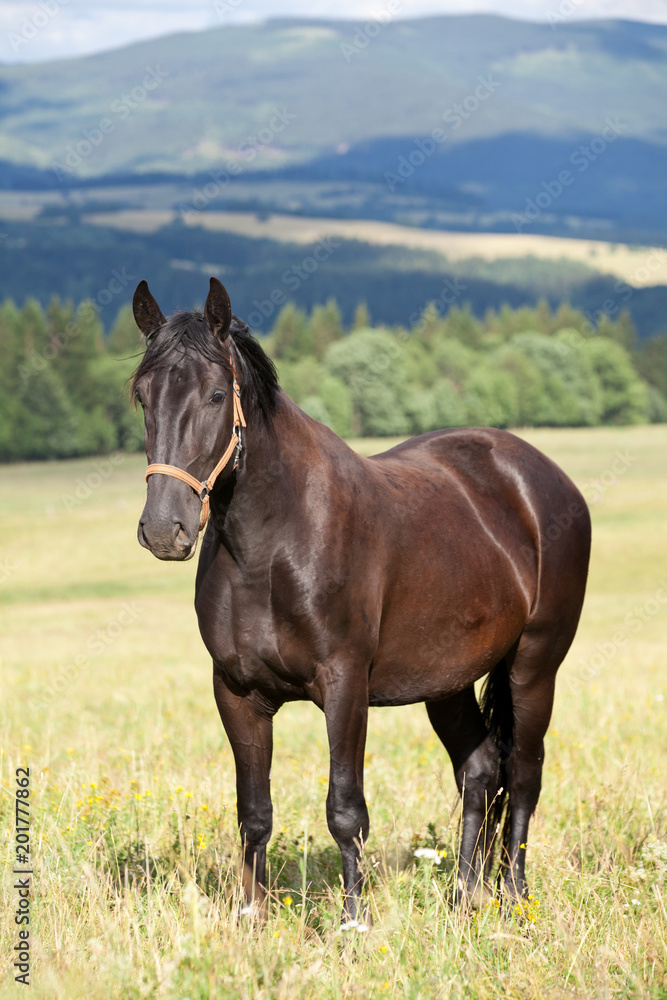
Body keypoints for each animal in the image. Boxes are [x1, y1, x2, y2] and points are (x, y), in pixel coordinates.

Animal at [131, 276, 591, 928]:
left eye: (217, 394)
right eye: (142, 397)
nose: (163, 529)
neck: (271, 546)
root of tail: (541, 476)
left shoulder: (345, 684)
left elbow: (345, 809)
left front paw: (353, 920)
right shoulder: (237, 692)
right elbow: (253, 813)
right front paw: (251, 916)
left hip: (534, 666)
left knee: (524, 775)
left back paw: (513, 897)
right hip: (446, 681)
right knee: (479, 770)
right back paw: (463, 896)